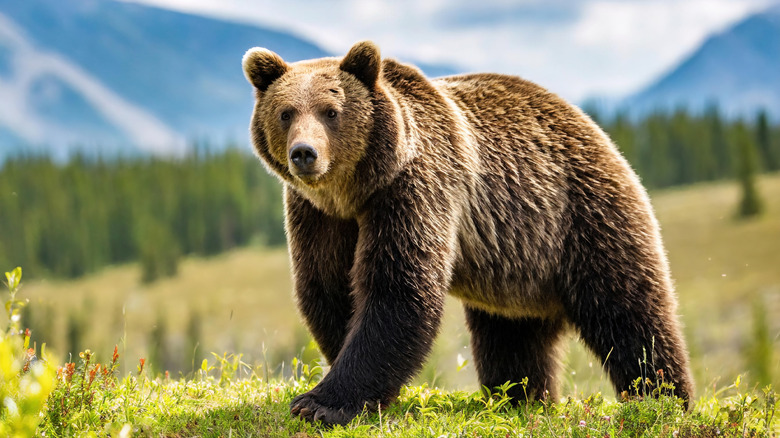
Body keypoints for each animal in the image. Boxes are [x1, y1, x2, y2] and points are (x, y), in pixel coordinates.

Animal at [242, 40, 696, 424]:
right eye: (286, 112)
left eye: (331, 111)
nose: (305, 153)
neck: (355, 190)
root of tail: (595, 129)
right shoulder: (317, 214)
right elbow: (327, 286)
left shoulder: (415, 187)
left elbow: (398, 289)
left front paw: (320, 403)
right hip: (518, 265)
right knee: (512, 338)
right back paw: (523, 398)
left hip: (584, 216)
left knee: (631, 314)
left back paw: (664, 399)